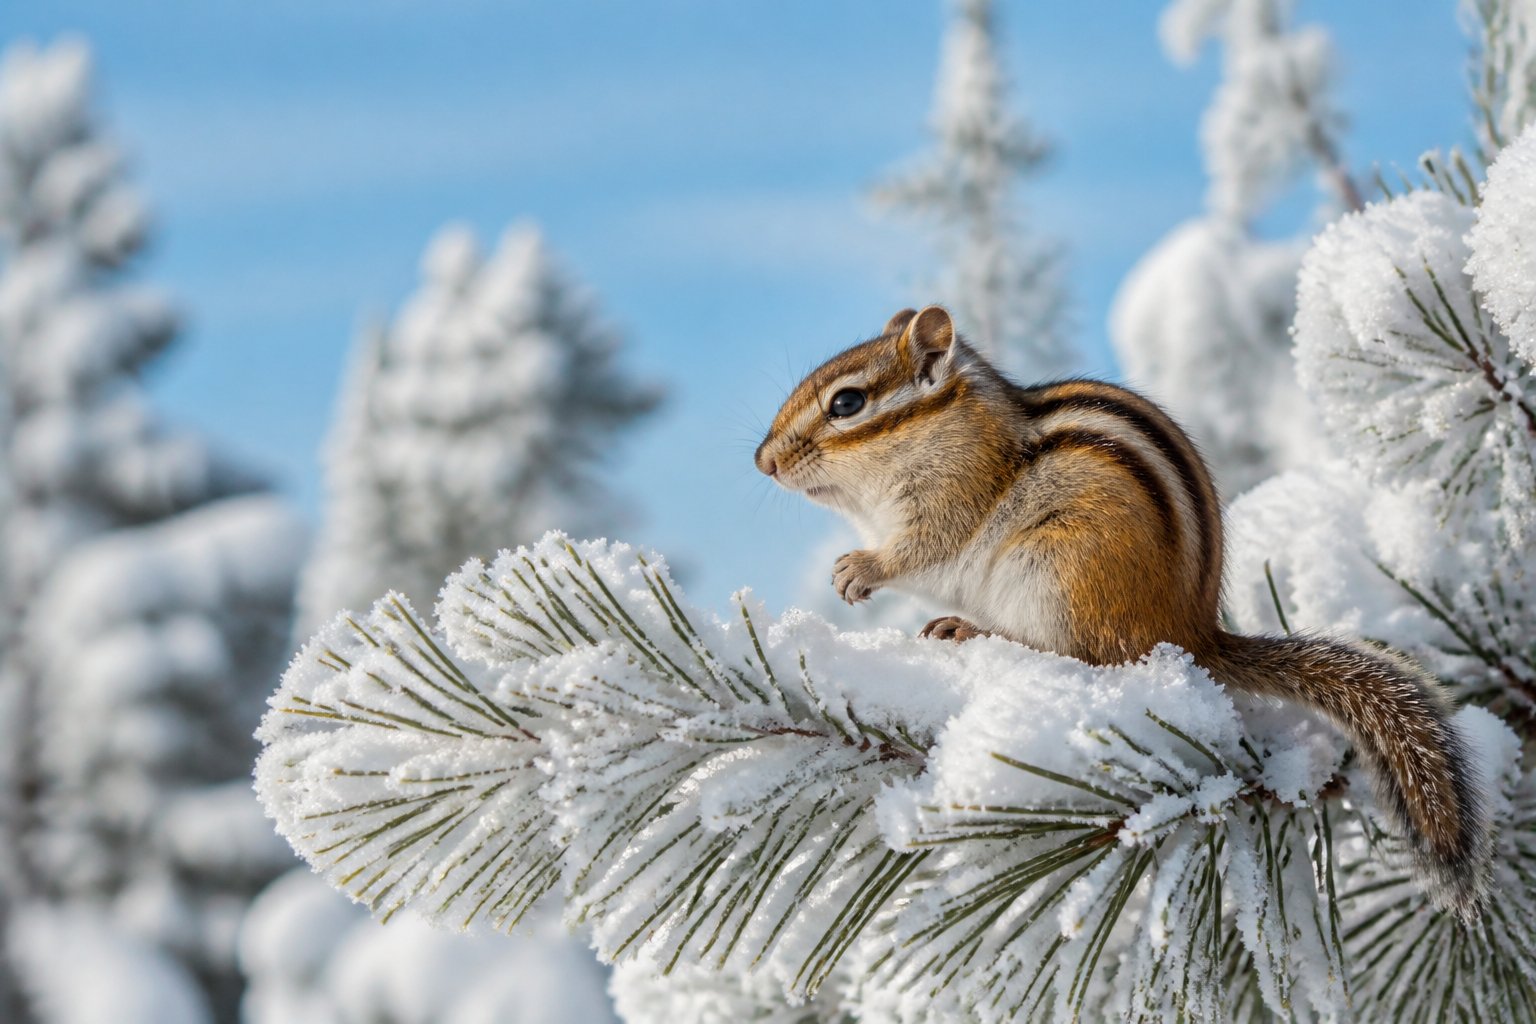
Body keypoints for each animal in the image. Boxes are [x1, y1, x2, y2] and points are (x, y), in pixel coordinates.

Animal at [755, 303, 1491, 918]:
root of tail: (1190, 634)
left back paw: (970, 630)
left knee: (1083, 657)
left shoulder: (953, 496)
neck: (940, 427)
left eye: (847, 403)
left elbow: (921, 547)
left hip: (1054, 572)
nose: (763, 462)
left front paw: (860, 568)